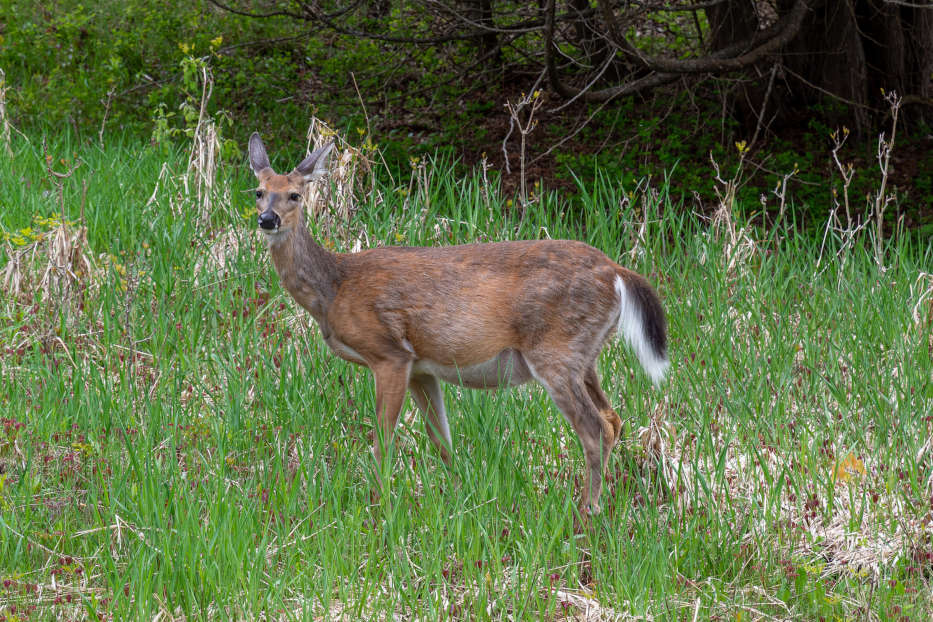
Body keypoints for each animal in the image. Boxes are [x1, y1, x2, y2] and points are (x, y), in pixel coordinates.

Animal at [248, 133, 668, 516]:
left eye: (295, 195)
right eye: (258, 191)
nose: (267, 219)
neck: (334, 288)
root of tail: (617, 272)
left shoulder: (389, 353)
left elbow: (383, 439)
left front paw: (379, 507)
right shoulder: (421, 367)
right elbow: (442, 441)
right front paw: (459, 499)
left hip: (555, 351)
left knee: (594, 427)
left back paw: (587, 511)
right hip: (584, 354)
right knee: (613, 418)